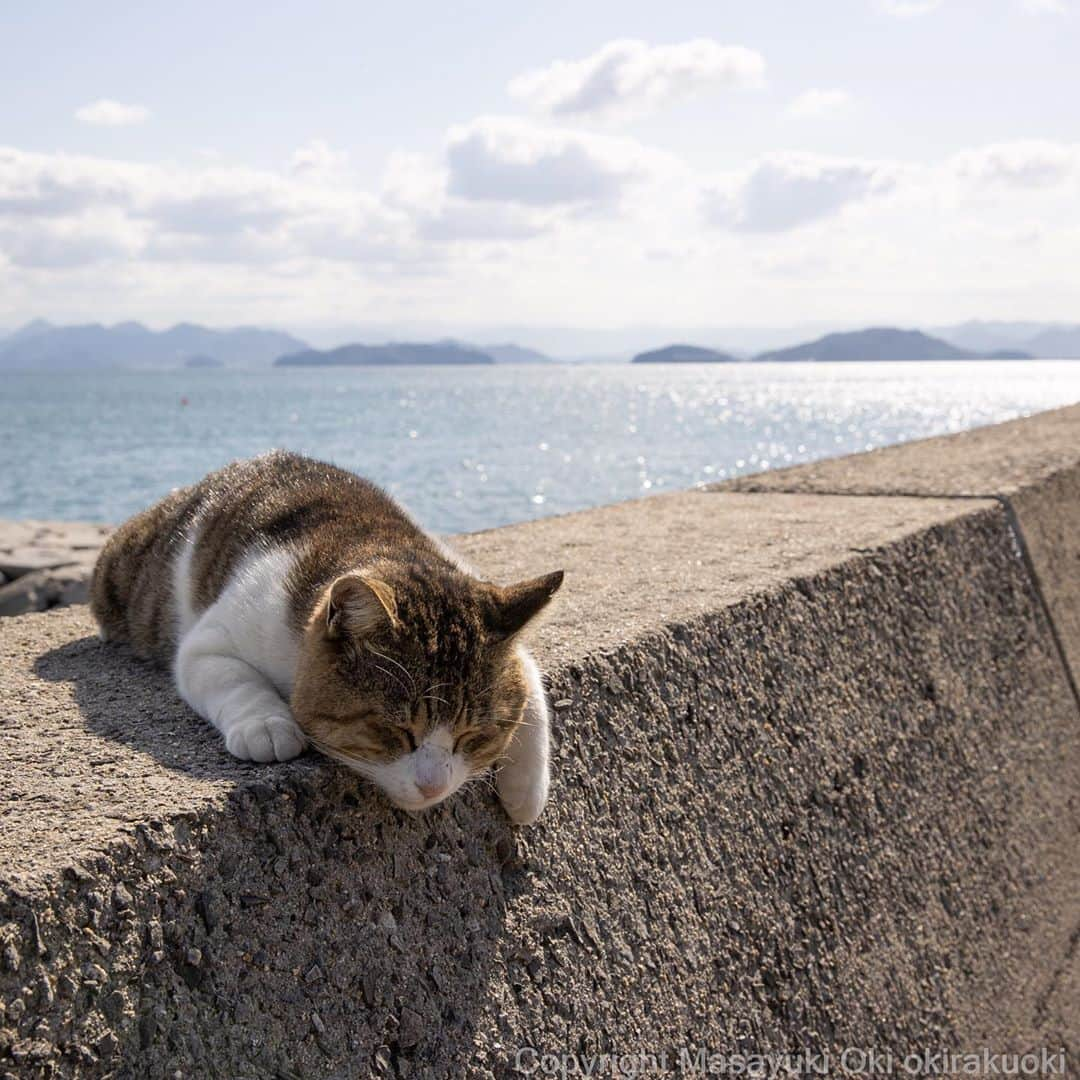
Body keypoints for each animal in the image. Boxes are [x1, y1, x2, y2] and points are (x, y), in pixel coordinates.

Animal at [90, 451, 565, 820]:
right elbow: (232, 679)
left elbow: (532, 685)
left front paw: (527, 791)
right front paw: (267, 724)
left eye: (473, 736)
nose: (434, 787)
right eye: (397, 732)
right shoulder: (209, 641)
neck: (379, 544)